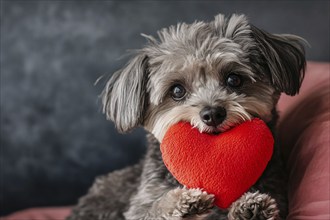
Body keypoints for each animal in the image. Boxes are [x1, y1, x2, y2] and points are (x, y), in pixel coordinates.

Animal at [67, 14, 306, 220]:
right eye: (177, 91)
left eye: (234, 79)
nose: (212, 113)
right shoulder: (141, 204)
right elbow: (152, 210)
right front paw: (181, 203)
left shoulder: (277, 193)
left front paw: (250, 209)